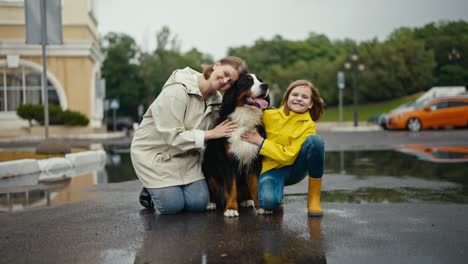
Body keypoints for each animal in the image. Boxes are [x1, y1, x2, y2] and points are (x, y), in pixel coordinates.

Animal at [202, 73, 270, 218]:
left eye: (260, 80)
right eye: (248, 81)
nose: (265, 85)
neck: (244, 120)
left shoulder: (253, 159)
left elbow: (255, 185)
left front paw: (261, 207)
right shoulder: (228, 161)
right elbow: (231, 187)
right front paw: (231, 208)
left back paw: (246, 200)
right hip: (207, 168)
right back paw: (211, 203)